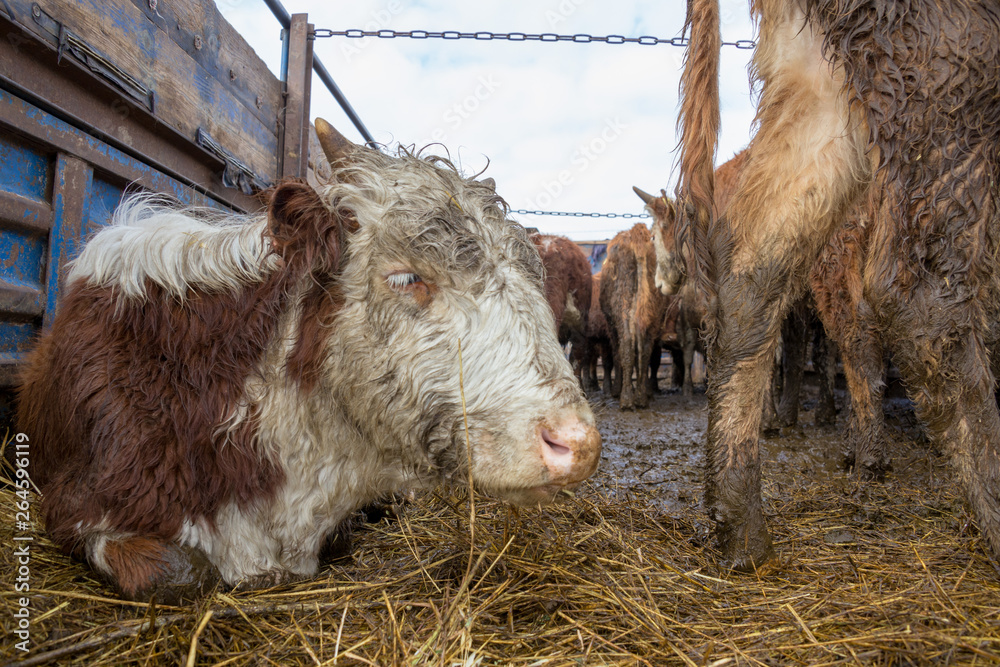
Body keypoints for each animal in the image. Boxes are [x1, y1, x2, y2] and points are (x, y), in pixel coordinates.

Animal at [599, 222, 672, 410]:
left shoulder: (611, 325)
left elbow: (617, 355)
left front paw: (617, 389)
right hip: (652, 314)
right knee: (645, 351)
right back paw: (641, 397)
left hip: (622, 307)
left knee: (625, 347)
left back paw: (625, 398)